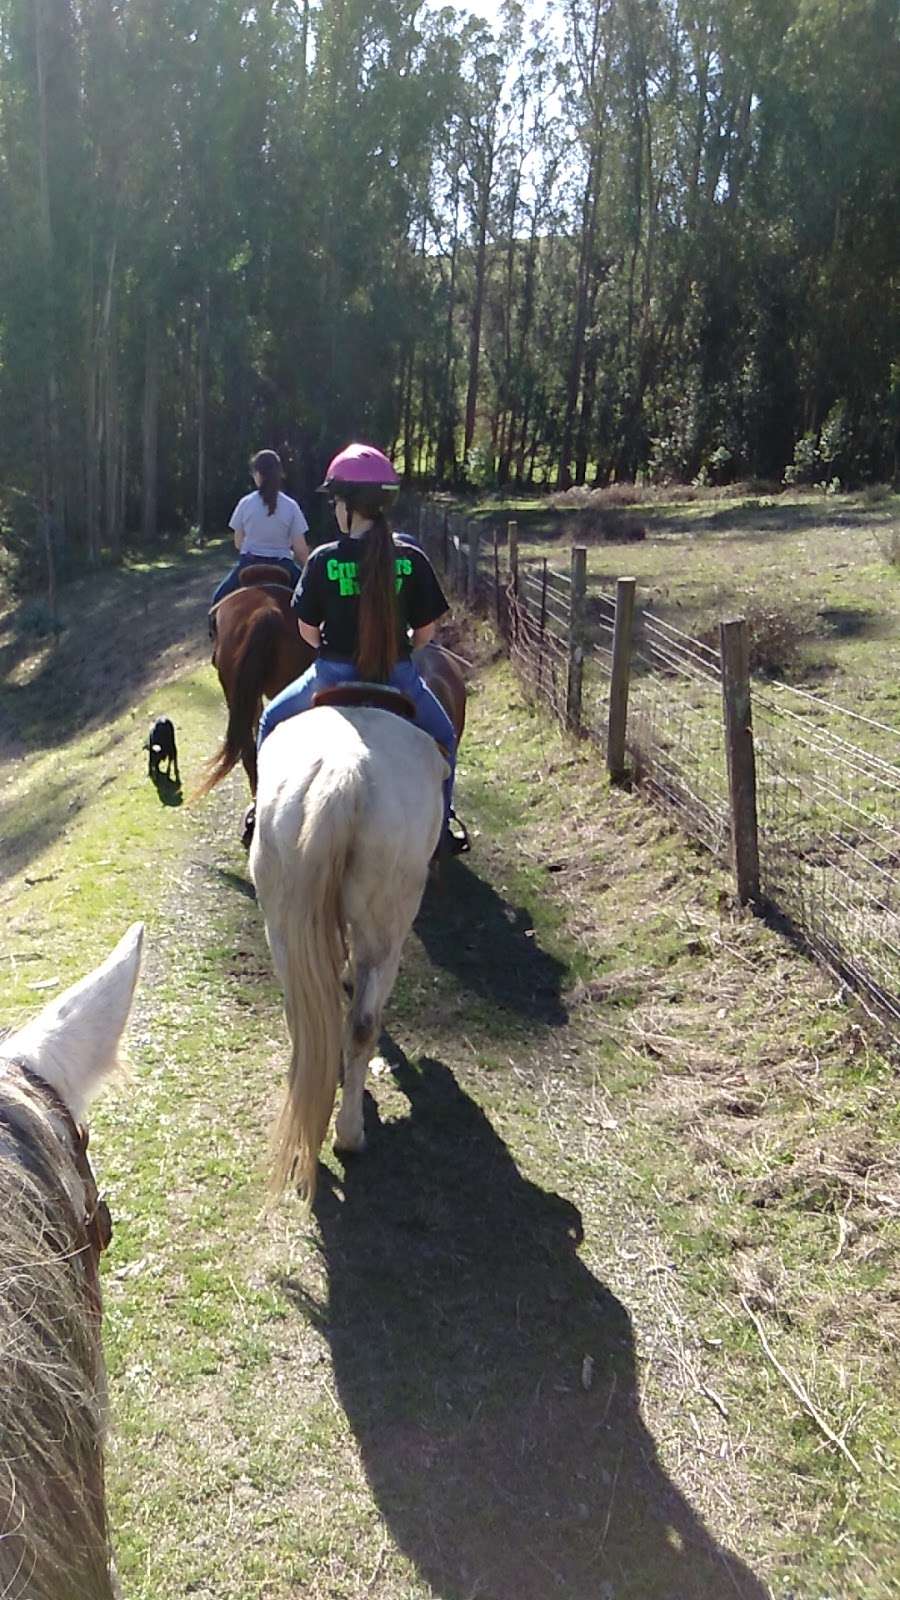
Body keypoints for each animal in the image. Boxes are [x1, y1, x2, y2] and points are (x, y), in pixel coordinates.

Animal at [249, 693, 446, 1203]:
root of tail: (344, 777)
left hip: (282, 924)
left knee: (301, 1014)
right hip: (387, 928)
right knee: (362, 1022)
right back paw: (351, 1134)